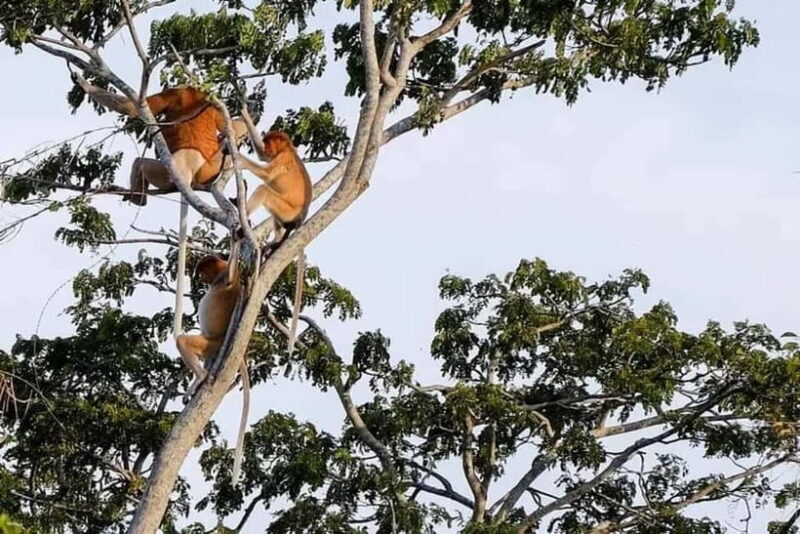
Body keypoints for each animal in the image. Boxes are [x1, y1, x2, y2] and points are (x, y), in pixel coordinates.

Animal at [175, 238, 250, 485]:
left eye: (202, 271)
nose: (200, 278)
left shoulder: (227, 275)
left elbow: (233, 272)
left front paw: (238, 239)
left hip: (212, 344)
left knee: (183, 341)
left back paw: (200, 378)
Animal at [233, 131, 312, 355]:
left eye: (270, 141)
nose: (268, 147)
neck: (290, 149)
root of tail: (299, 221)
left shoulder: (282, 158)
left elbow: (266, 173)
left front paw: (239, 159)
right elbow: (263, 159)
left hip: (286, 210)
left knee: (264, 189)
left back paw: (243, 225)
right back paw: (275, 242)